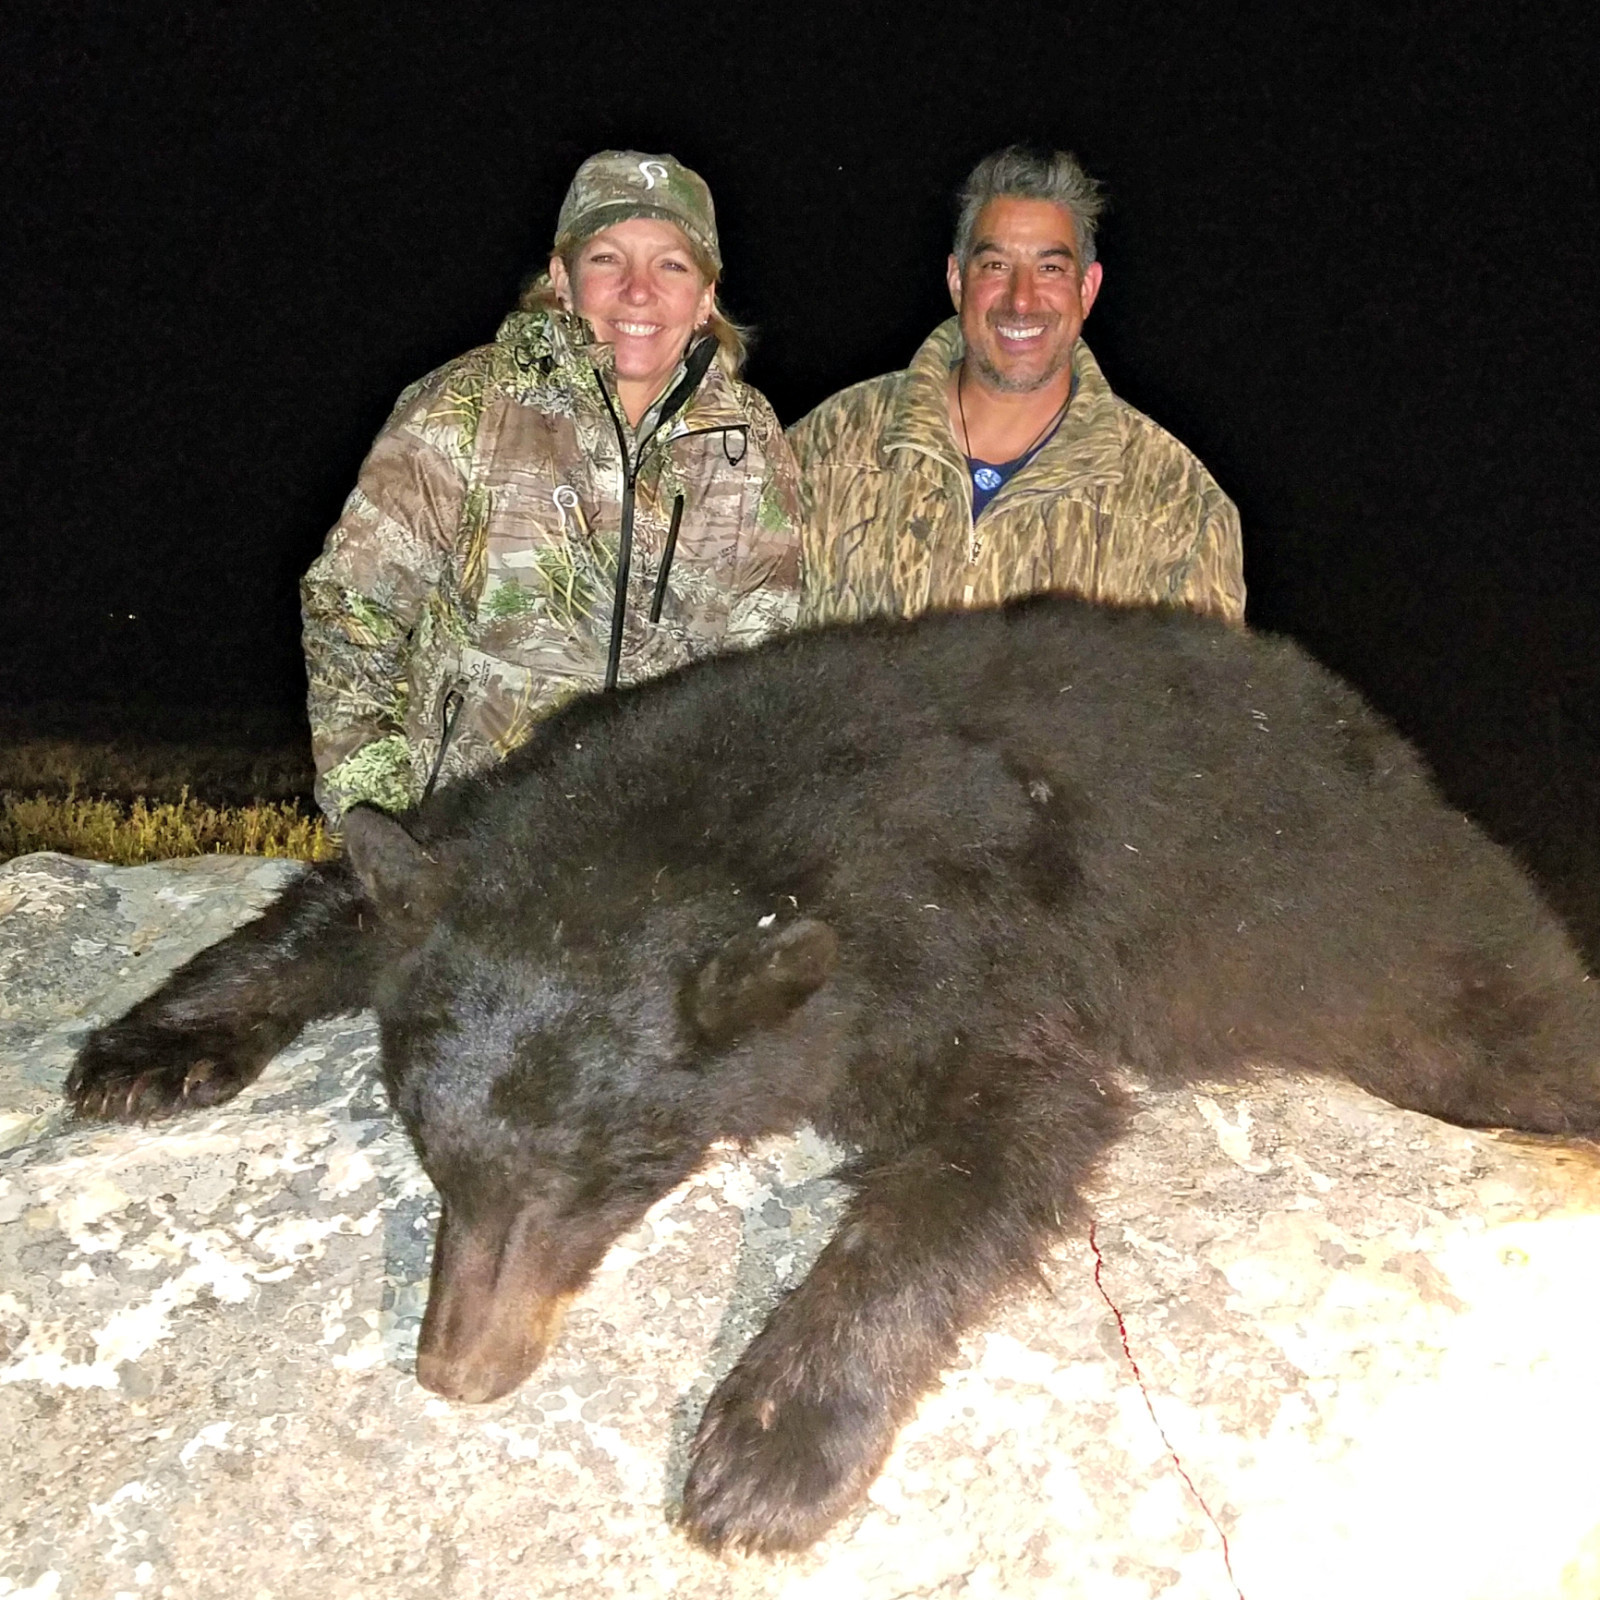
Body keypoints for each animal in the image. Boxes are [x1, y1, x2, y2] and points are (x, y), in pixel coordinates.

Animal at [65, 594, 1600, 1553]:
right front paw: (144, 1049)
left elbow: (1000, 1140)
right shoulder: (511, 810)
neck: (690, 842)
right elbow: (343, 896)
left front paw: (768, 1445)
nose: (458, 1371)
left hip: (1417, 958)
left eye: (601, 1180)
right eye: (433, 1159)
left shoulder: (956, 939)